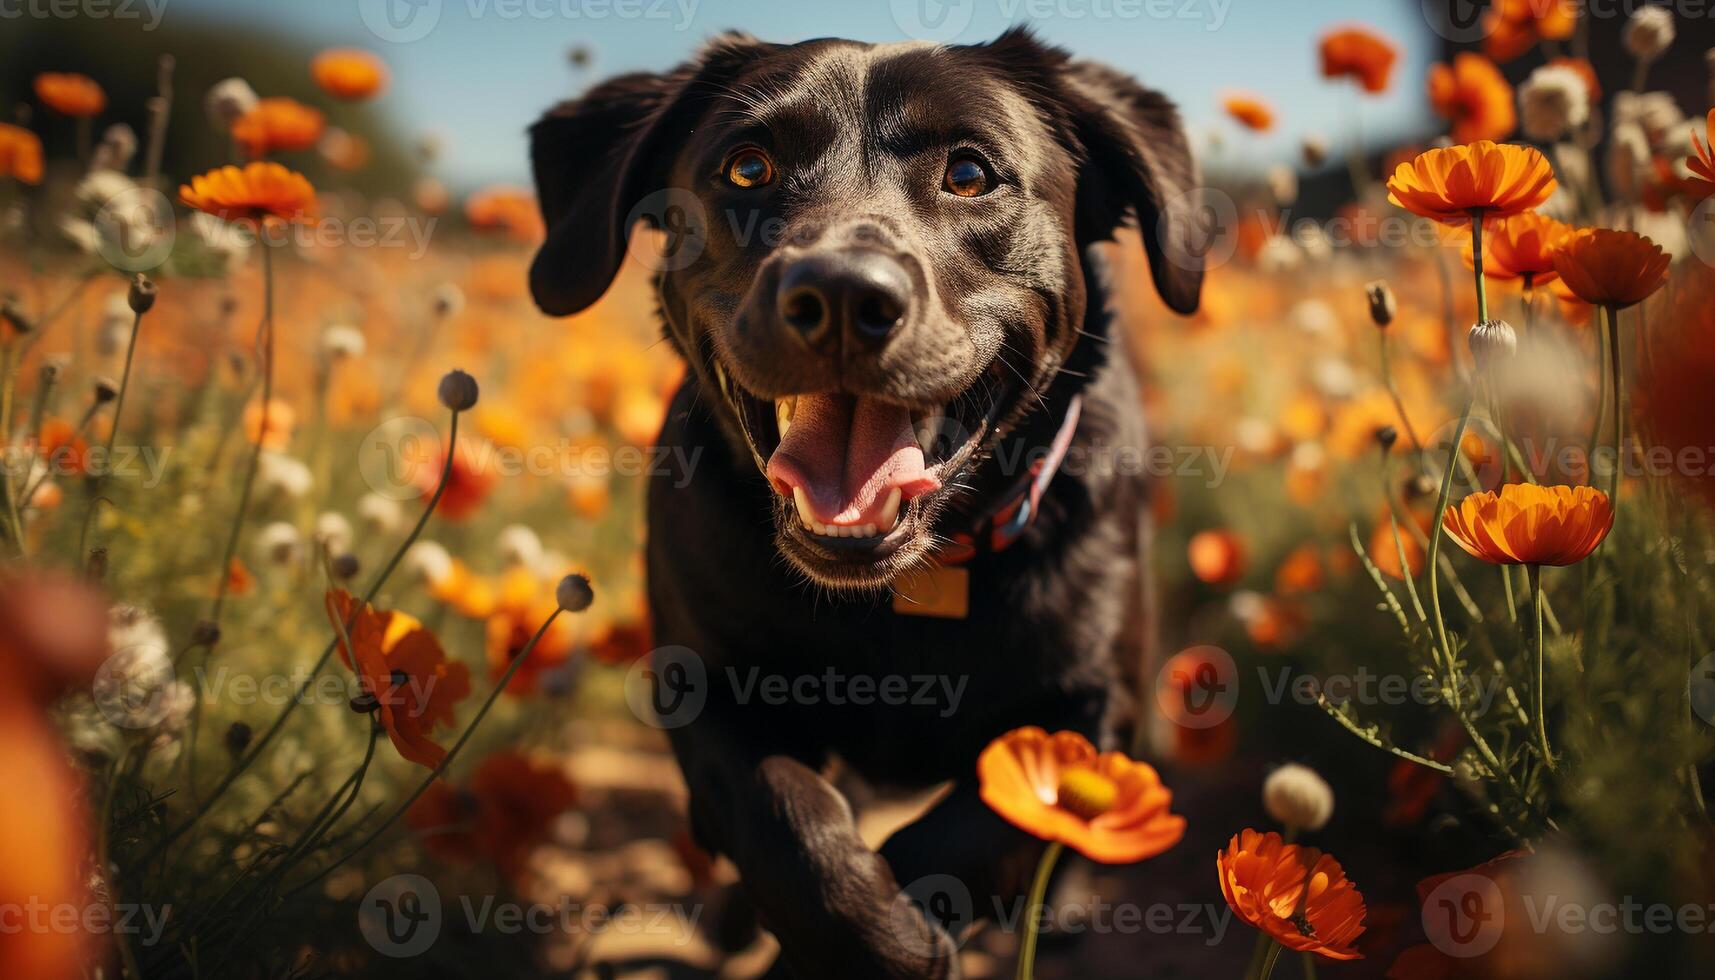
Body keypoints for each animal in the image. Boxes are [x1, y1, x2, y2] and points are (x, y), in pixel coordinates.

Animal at [528, 30, 1200, 980]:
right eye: (747, 167)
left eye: (968, 172)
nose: (842, 294)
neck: (901, 594)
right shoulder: (707, 685)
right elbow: (787, 824)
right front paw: (875, 940)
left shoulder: (1093, 699)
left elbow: (987, 827)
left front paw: (914, 928)